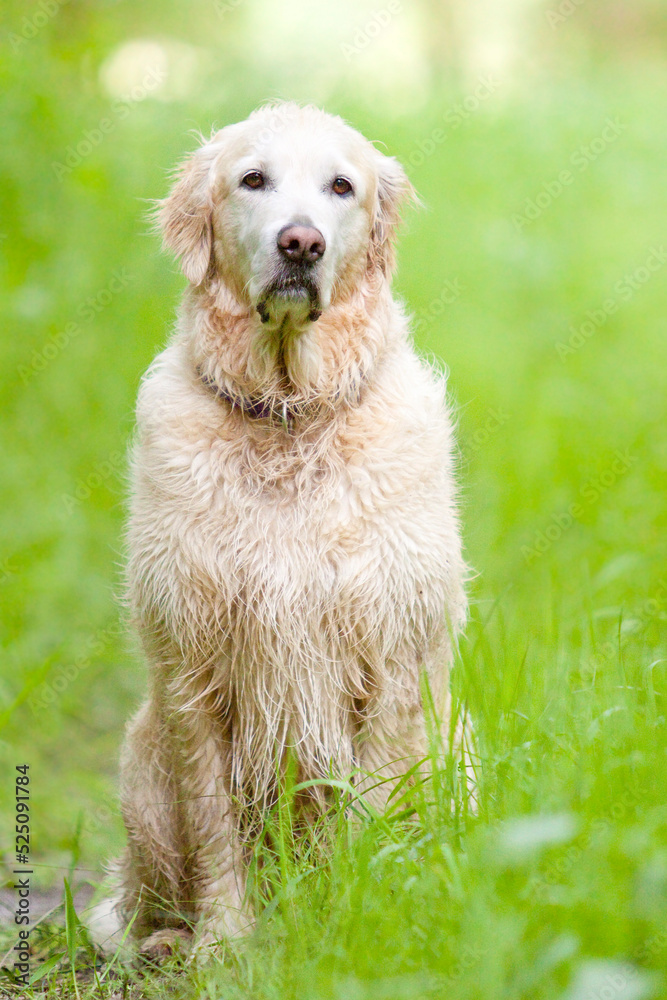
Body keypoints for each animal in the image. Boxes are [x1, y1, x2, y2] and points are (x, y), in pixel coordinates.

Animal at [100, 101, 470, 960]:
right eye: (252, 179)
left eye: (340, 186)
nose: (300, 243)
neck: (289, 416)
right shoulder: (192, 663)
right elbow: (213, 822)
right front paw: (224, 941)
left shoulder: (388, 661)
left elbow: (364, 805)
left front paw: (349, 917)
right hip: (140, 767)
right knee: (140, 899)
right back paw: (166, 939)